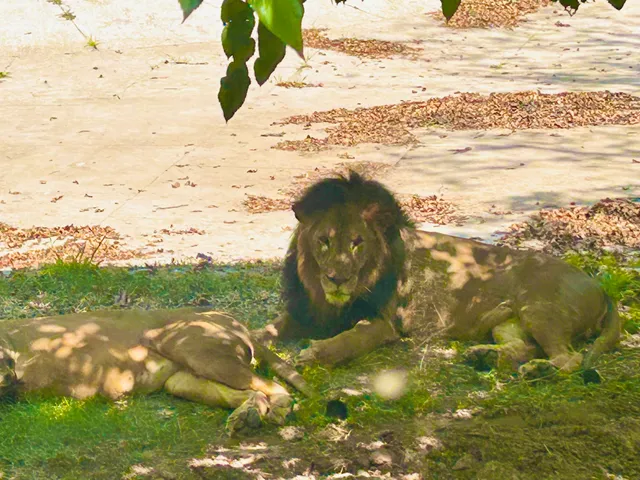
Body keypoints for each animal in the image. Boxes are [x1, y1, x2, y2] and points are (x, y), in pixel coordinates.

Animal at [0, 307, 312, 433]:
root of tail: (232, 318)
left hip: (194, 349)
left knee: (274, 387)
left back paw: (276, 411)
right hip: (182, 380)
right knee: (250, 393)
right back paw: (246, 418)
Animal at [257, 171, 621, 378]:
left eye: (357, 243)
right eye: (324, 241)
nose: (336, 279)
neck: (328, 298)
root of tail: (601, 288)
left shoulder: (382, 323)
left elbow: (347, 340)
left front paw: (314, 354)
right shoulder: (305, 311)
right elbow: (265, 330)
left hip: (540, 309)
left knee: (570, 359)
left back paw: (538, 371)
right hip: (508, 324)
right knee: (528, 347)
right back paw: (486, 356)